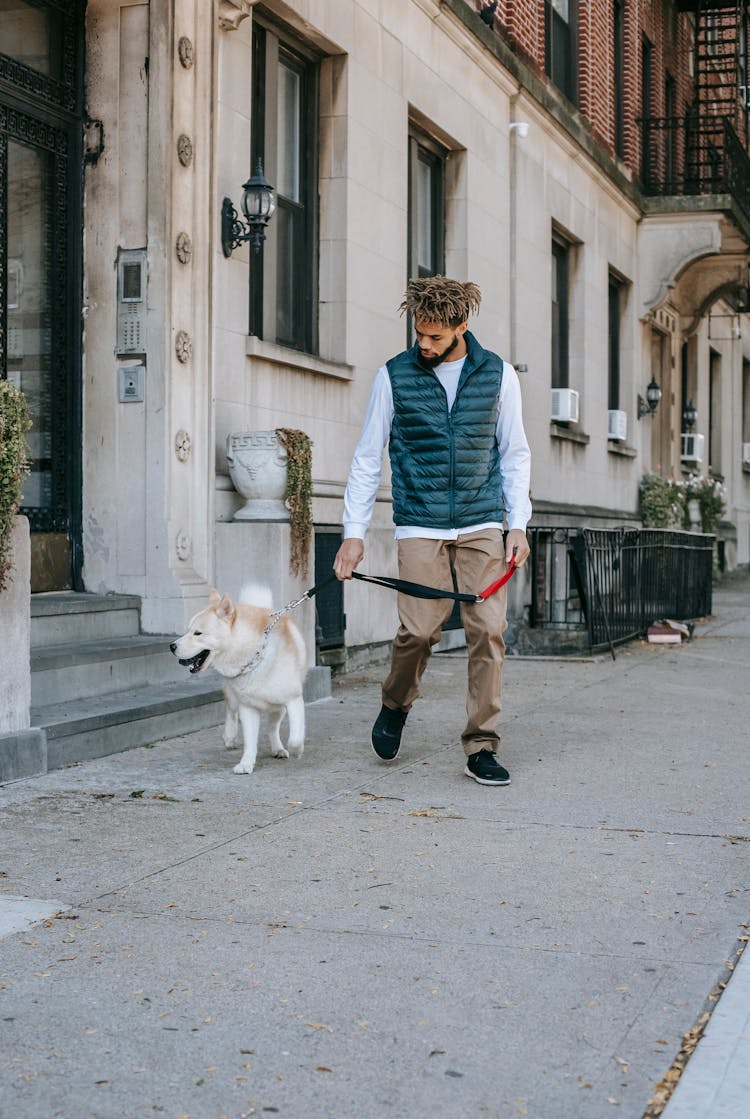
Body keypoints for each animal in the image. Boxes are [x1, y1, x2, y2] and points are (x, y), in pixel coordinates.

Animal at [171, 586, 308, 778]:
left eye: (197, 633)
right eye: (187, 631)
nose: (171, 646)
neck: (255, 654)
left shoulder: (293, 700)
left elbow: (295, 737)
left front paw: (297, 750)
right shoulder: (247, 707)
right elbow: (250, 742)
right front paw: (246, 764)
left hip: (277, 707)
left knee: (272, 728)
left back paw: (278, 748)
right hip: (234, 696)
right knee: (231, 711)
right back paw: (229, 736)